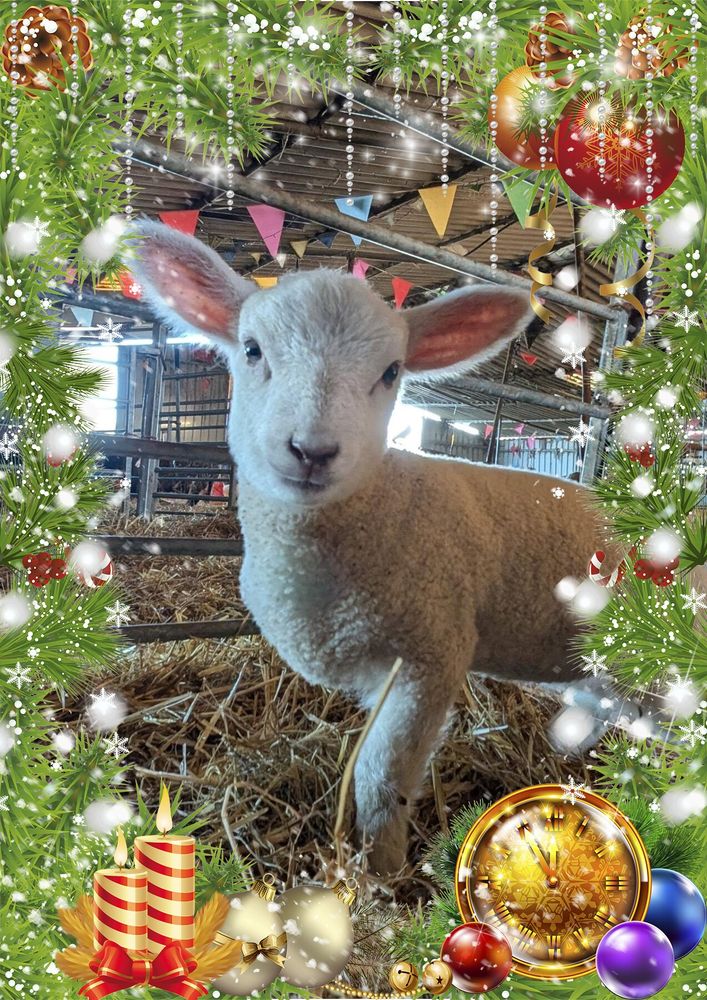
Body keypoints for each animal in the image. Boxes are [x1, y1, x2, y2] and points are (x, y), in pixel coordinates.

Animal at [132, 221, 615, 875]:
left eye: (391, 372)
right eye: (252, 350)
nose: (312, 451)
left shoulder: (430, 656)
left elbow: (381, 779)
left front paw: (381, 872)